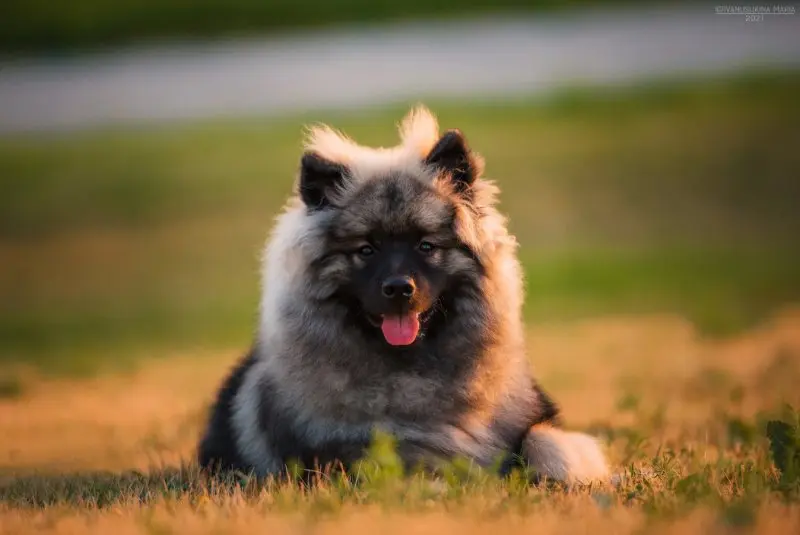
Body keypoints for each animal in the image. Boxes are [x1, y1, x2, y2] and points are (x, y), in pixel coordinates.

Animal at [197, 105, 608, 486]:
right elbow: (414, 466)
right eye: (366, 250)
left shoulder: (533, 421)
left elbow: (547, 441)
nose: (398, 288)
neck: (412, 369)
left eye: (426, 246)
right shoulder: (350, 455)